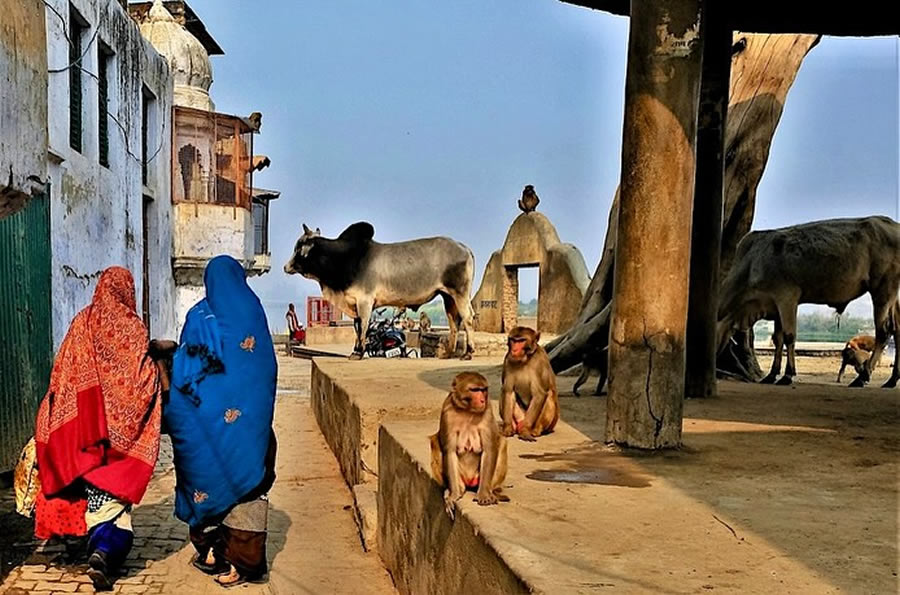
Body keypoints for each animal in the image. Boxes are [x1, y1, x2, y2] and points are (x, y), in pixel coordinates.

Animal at [284, 222, 478, 358]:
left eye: (298, 246)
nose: (286, 267)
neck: (346, 259)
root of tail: (465, 248)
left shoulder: (364, 301)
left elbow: (362, 326)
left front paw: (358, 353)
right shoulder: (355, 303)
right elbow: (357, 327)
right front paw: (356, 350)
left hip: (459, 293)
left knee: (468, 318)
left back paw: (468, 353)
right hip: (448, 296)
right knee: (454, 322)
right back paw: (449, 353)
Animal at [430, 372, 510, 516]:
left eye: (483, 390)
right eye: (474, 390)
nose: (482, 400)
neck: (467, 410)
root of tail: (470, 481)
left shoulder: (488, 411)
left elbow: (489, 449)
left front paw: (484, 495)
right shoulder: (447, 412)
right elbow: (449, 451)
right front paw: (454, 495)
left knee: (502, 442)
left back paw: (492, 492)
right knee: (435, 442)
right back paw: (455, 489)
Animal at [716, 217, 900, 388]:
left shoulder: (787, 297)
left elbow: (789, 337)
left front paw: (787, 375)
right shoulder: (775, 306)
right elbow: (777, 339)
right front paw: (772, 374)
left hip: (883, 289)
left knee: (883, 332)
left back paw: (863, 377)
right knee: (897, 330)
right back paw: (891, 380)